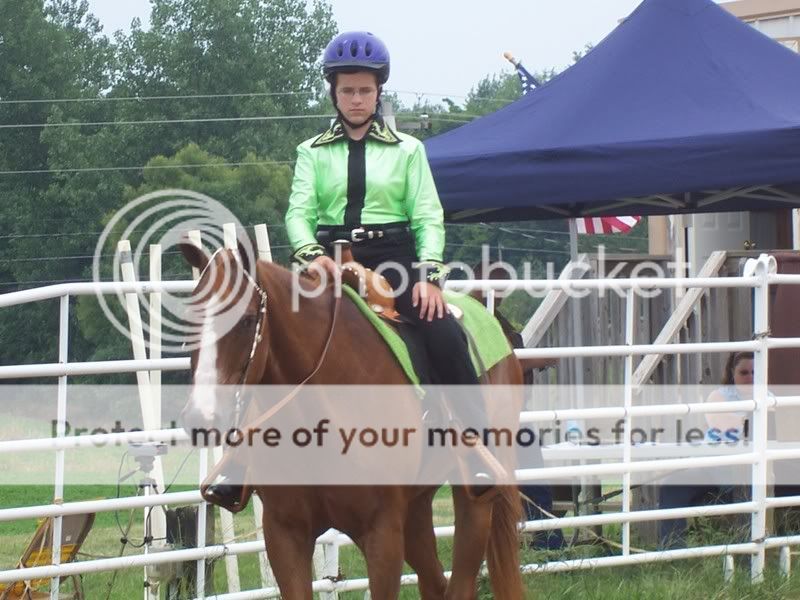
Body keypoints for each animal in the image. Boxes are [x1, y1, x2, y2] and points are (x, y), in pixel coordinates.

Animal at [179, 245, 524, 600]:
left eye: (247, 320)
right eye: (188, 320)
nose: (201, 416)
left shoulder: (382, 534)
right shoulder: (284, 534)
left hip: (474, 502)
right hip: (416, 508)